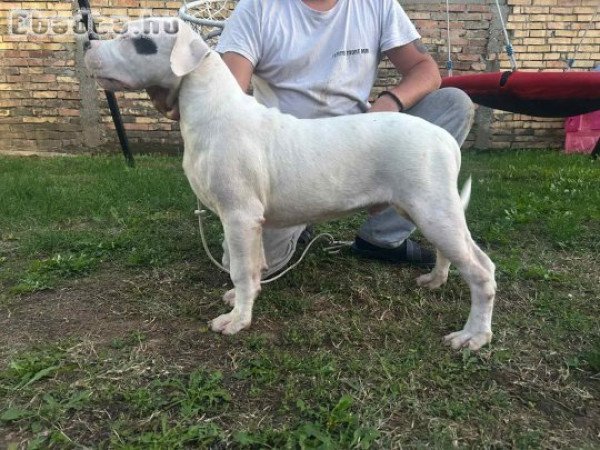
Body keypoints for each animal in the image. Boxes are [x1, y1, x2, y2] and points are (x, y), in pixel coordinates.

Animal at [84, 17, 496, 350]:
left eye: (140, 41)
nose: (87, 45)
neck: (211, 110)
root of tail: (444, 139)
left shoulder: (239, 217)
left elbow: (240, 269)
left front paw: (237, 321)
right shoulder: (246, 223)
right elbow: (249, 267)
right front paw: (241, 301)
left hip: (434, 211)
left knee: (482, 272)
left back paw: (473, 336)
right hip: (426, 210)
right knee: (451, 253)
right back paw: (435, 280)